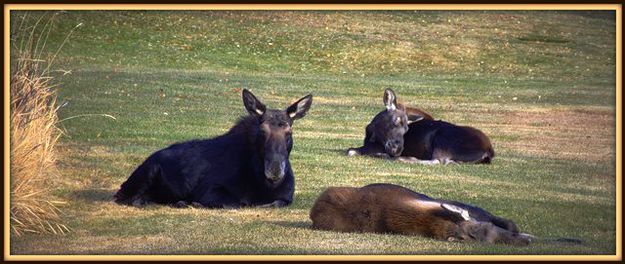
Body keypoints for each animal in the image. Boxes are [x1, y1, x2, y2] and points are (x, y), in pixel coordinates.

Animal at [114, 88, 312, 208]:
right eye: (262, 131)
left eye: (289, 132)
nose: (275, 169)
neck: (265, 184)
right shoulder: (209, 189)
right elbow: (238, 203)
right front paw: (195, 203)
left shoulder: (286, 198)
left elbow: (274, 203)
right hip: (145, 175)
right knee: (132, 199)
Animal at [346, 87, 492, 164]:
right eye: (396, 120)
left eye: (406, 129)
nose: (397, 149)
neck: (370, 133)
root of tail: (489, 151)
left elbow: (351, 150)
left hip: (442, 140)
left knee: (438, 161)